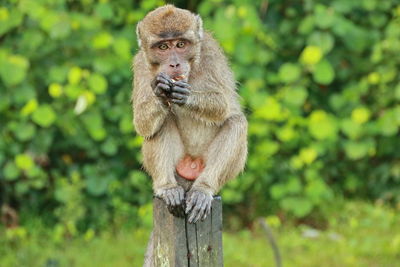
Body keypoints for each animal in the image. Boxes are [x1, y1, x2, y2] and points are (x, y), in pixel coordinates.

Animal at [133, 4, 248, 225]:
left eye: (180, 44)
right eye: (163, 47)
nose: (174, 64)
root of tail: (192, 163)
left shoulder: (210, 52)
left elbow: (223, 105)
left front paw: (185, 96)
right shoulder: (141, 65)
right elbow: (142, 124)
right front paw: (160, 92)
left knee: (237, 122)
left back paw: (203, 189)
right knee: (160, 123)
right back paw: (168, 188)